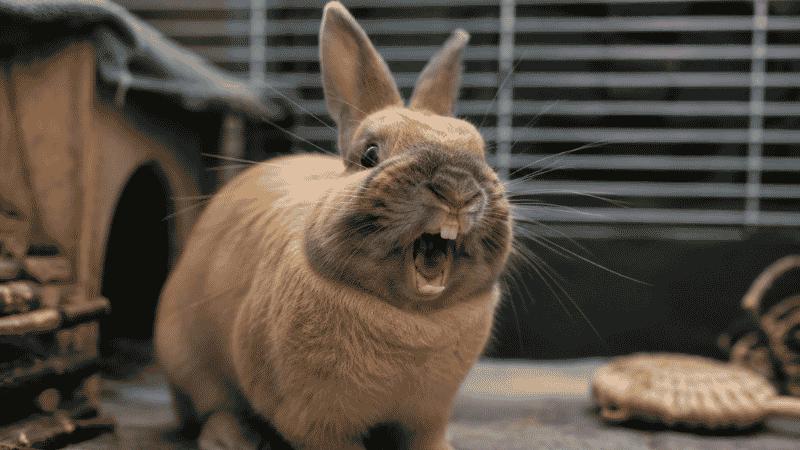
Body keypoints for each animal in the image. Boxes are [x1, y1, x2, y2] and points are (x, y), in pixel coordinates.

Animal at [153, 2, 513, 449]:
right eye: (369, 155)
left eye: (481, 152)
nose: (457, 187)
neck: (413, 319)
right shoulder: (314, 420)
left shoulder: (427, 416)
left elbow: (425, 438)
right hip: (186, 358)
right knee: (209, 407)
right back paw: (233, 436)